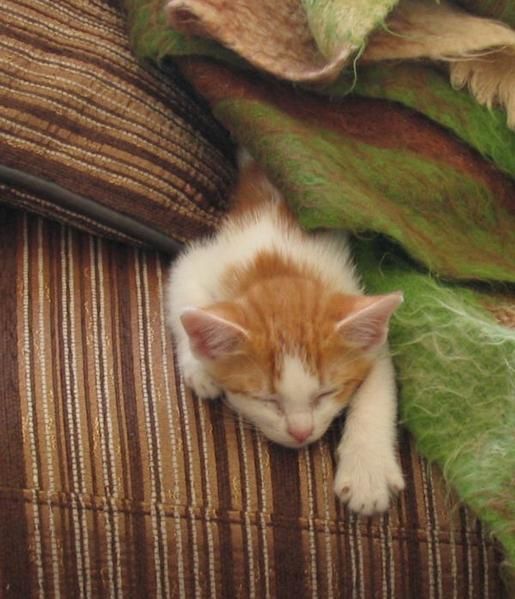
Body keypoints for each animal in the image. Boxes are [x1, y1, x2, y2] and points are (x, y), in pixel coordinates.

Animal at [167, 154, 406, 516]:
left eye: (326, 393)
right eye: (267, 400)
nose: (300, 432)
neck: (279, 261)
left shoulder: (358, 310)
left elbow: (379, 384)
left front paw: (368, 472)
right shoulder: (202, 261)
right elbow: (182, 290)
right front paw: (200, 367)